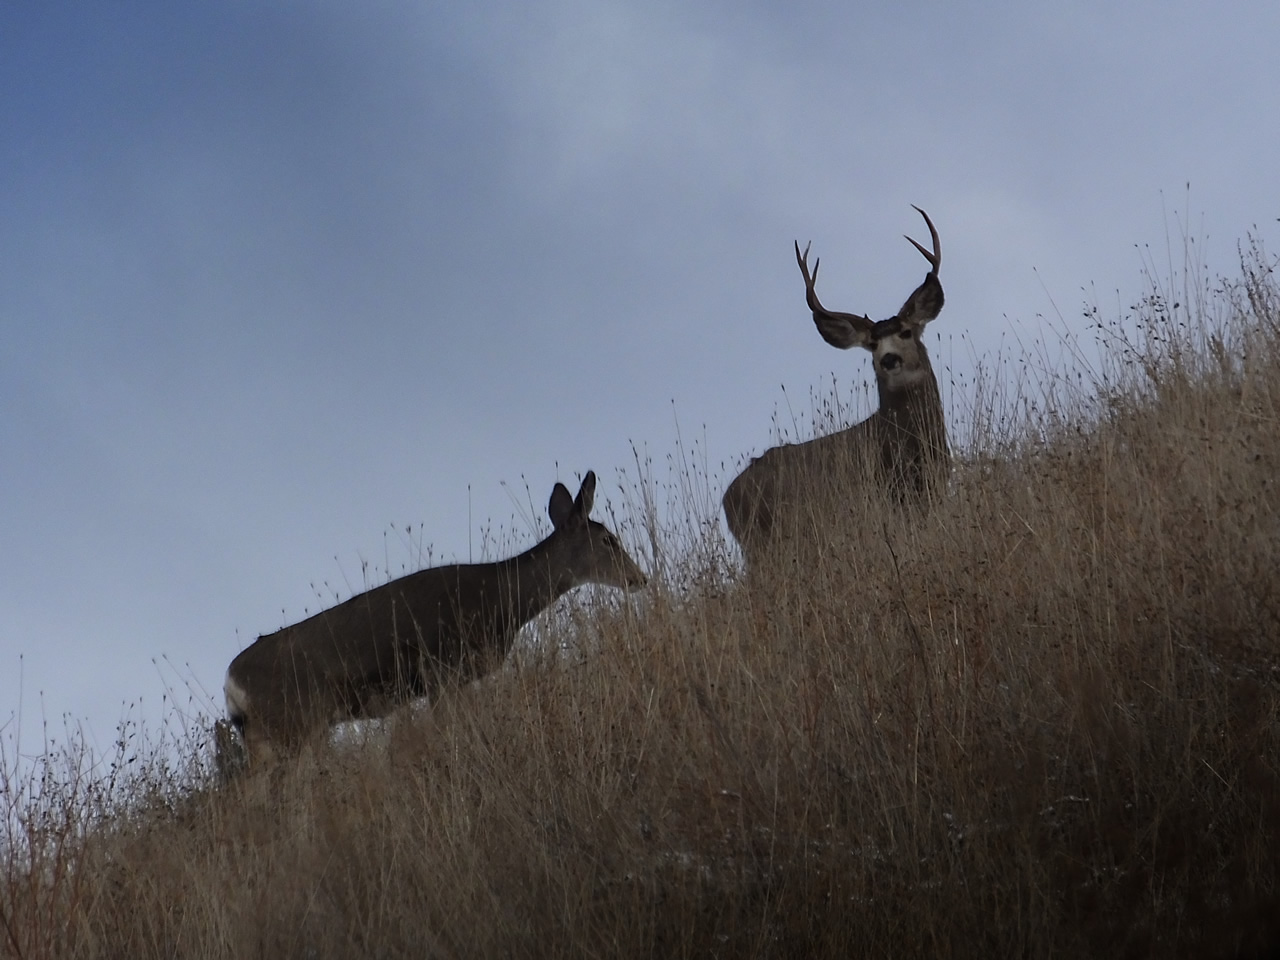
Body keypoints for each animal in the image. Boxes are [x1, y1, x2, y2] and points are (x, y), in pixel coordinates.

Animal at [221, 471, 647, 768]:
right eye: (608, 540)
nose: (639, 578)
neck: (499, 600)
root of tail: (231, 681)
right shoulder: (442, 667)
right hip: (297, 719)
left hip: (268, 735)